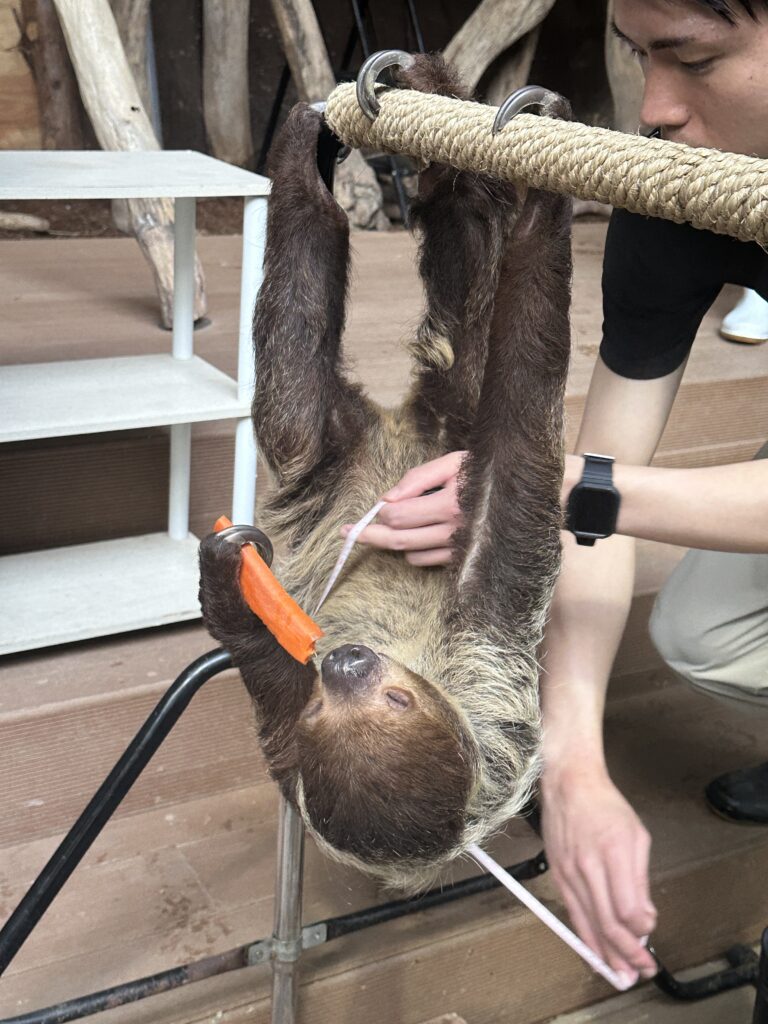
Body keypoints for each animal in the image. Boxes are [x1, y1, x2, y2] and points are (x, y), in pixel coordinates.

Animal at [198, 54, 573, 893]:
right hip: (335, 456)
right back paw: (324, 150)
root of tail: (404, 433)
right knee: (305, 372)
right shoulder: (298, 753)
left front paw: (543, 206)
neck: (425, 661)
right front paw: (230, 587)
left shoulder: (494, 684)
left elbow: (511, 479)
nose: (341, 661)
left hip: (381, 438)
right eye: (328, 710)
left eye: (399, 701)